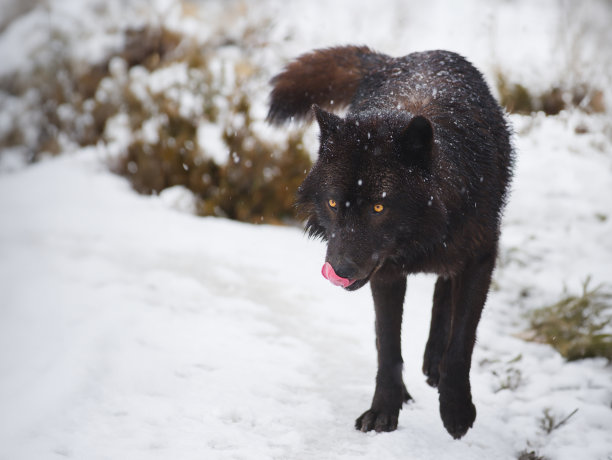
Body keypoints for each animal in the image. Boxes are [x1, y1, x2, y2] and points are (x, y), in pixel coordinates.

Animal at [266, 45, 512, 438]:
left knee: (445, 290)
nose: (339, 269)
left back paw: (434, 363)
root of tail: (393, 59)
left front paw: (456, 410)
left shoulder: (481, 258)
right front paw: (384, 409)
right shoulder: (386, 274)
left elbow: (461, 343)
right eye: (333, 203)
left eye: (379, 207)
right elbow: (387, 346)